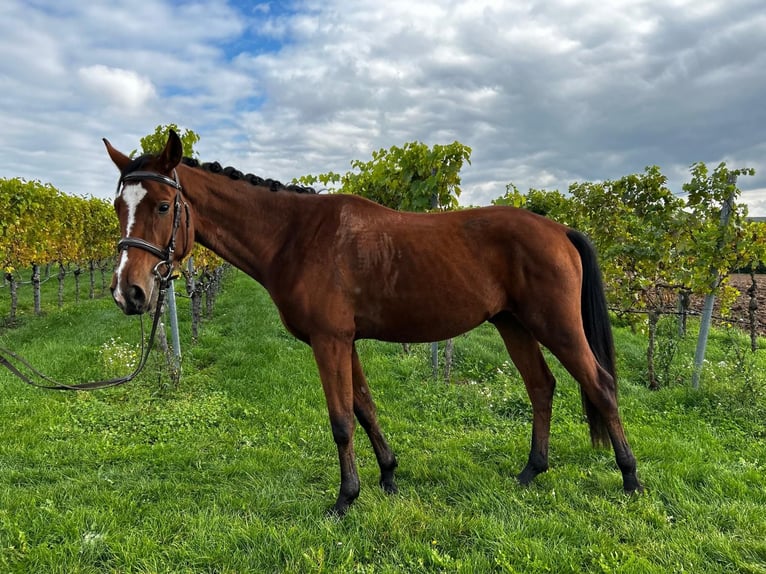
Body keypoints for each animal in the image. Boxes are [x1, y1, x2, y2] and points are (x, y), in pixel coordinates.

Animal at [104, 130, 642, 516]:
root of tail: (561, 230)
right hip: (513, 325)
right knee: (542, 387)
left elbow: (341, 420)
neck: (295, 236)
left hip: (557, 327)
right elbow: (364, 408)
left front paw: (345, 498)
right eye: (117, 207)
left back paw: (630, 479)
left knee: (601, 385)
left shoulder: (329, 341)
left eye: (164, 205)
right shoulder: (348, 341)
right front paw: (387, 476)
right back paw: (532, 471)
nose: (129, 292)